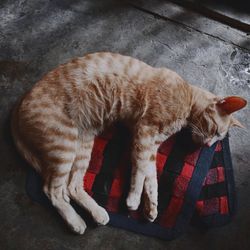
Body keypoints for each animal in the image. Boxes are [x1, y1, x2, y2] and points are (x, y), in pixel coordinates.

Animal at [11, 52, 246, 234]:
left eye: (218, 138)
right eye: (215, 131)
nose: (208, 146)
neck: (188, 98)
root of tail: (20, 104)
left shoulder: (151, 145)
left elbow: (151, 177)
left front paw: (151, 207)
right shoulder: (144, 133)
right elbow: (141, 170)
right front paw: (133, 199)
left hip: (82, 145)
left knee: (72, 186)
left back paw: (97, 213)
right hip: (64, 145)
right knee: (53, 190)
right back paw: (75, 221)